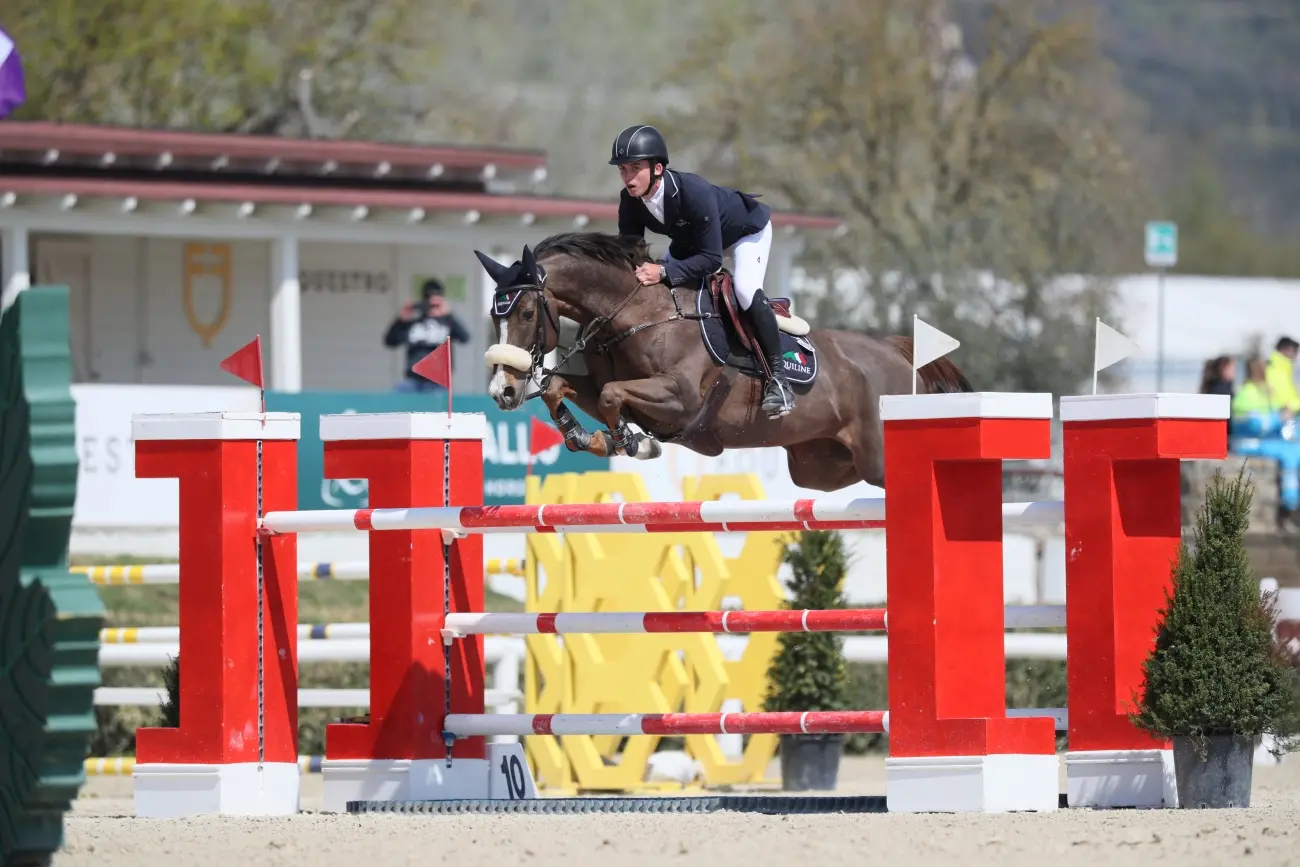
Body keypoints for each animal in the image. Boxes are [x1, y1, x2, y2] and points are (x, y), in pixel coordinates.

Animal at [473, 230, 972, 491]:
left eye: (526, 312)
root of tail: (897, 353)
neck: (635, 312)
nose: (503, 392)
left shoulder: (681, 401)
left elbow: (615, 396)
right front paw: (589, 438)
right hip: (821, 467)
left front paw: (634, 443)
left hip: (878, 459)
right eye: (494, 315)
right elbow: (564, 389)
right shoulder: (607, 391)